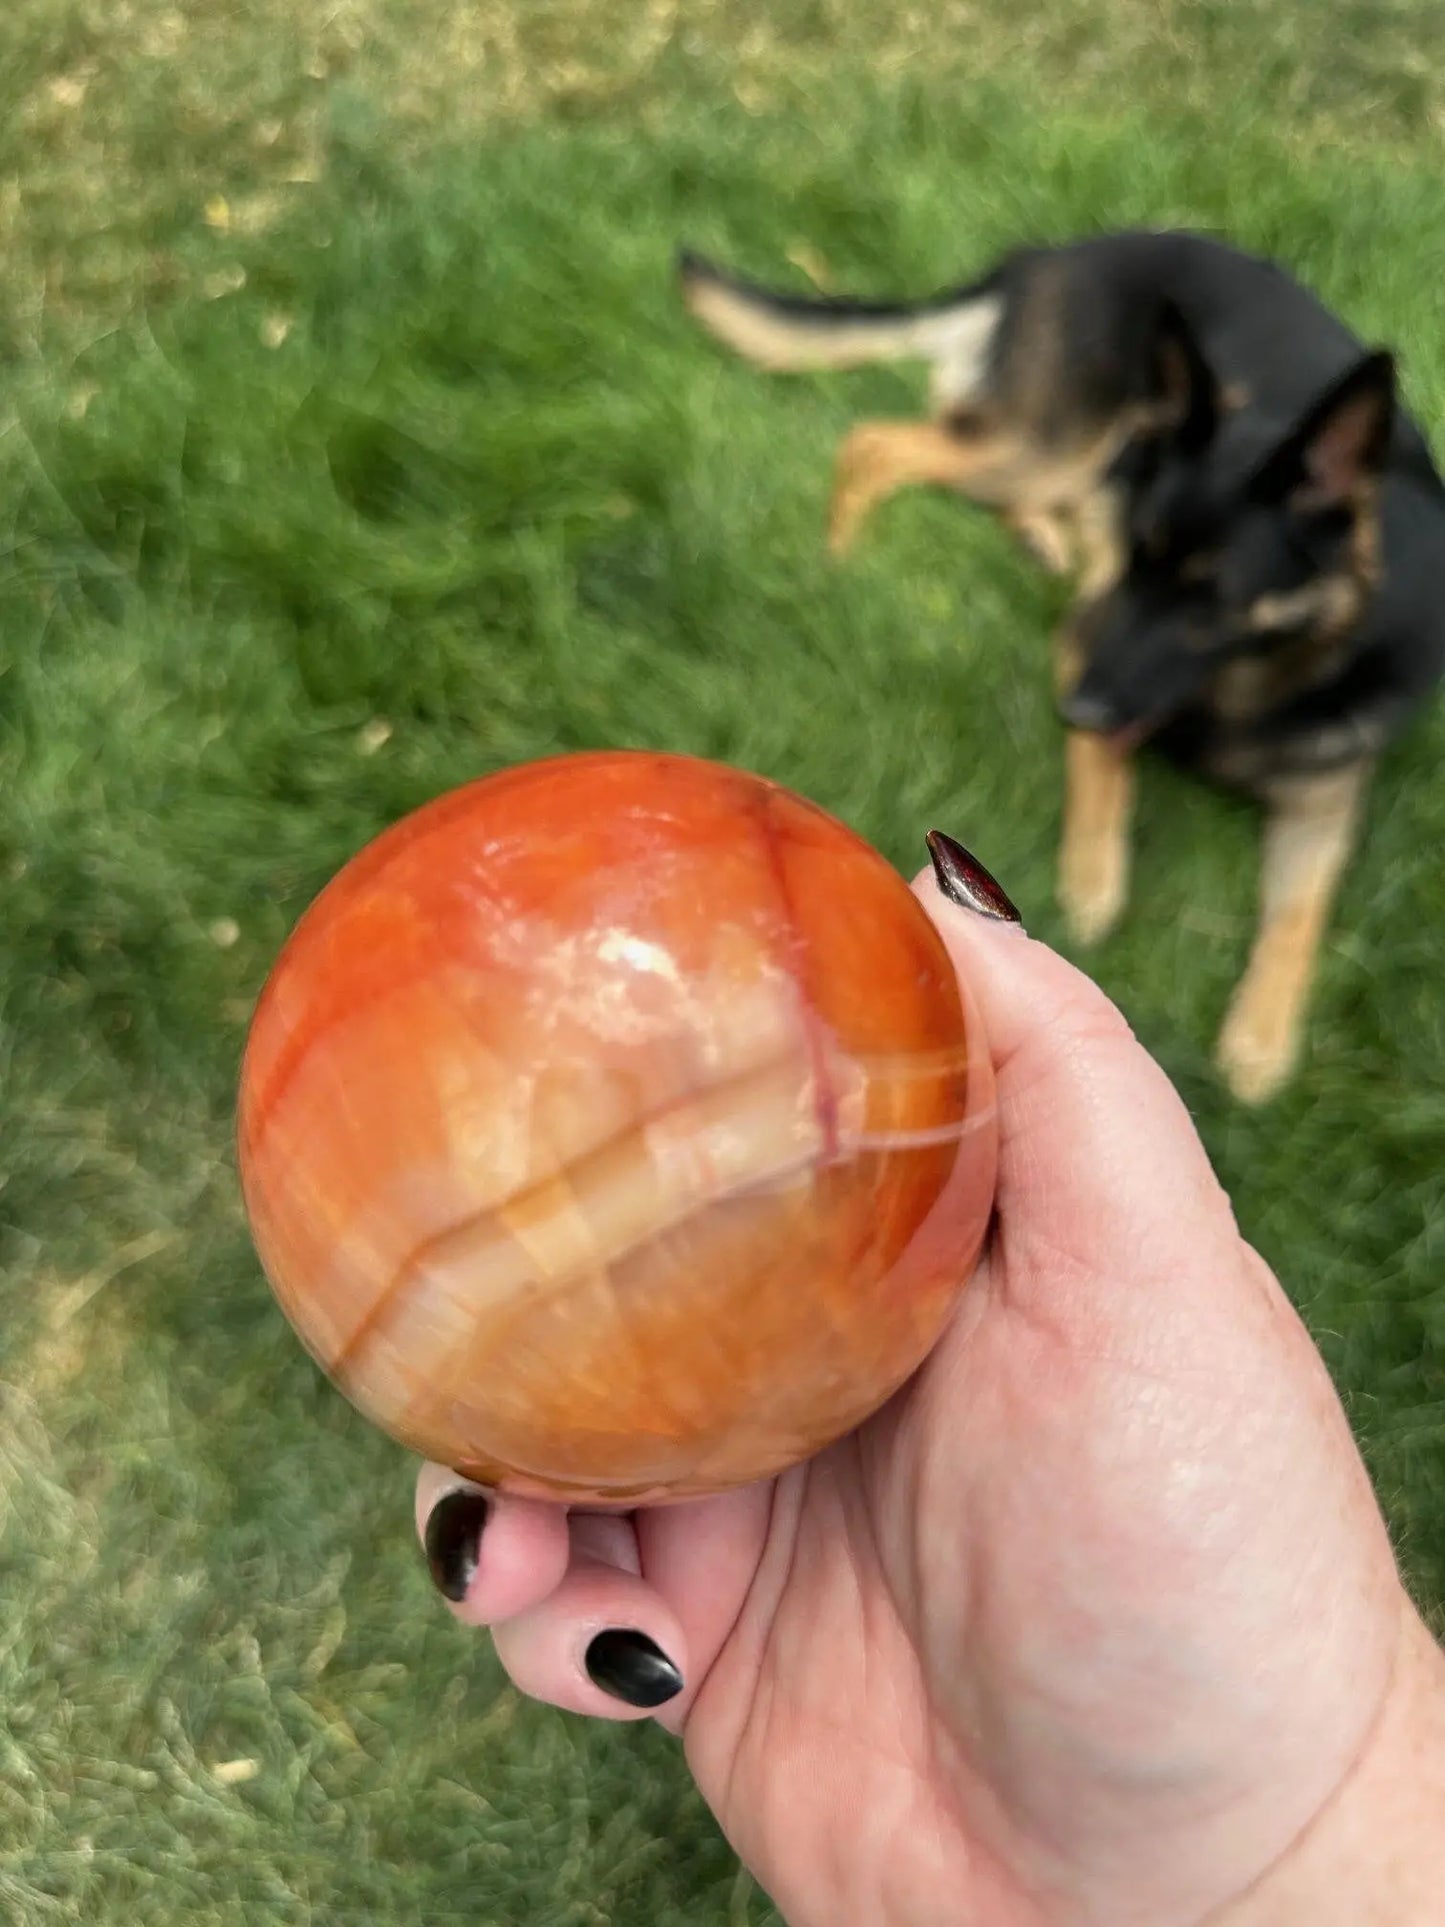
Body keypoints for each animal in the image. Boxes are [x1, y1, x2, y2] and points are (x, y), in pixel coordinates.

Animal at [682, 229, 1445, 1102]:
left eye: (1207, 595)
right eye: (1141, 566)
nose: (1070, 707)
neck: (1242, 692)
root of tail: (1051, 255)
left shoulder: (1326, 792)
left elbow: (1300, 911)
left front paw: (1260, 1038)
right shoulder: (1091, 631)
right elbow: (1099, 762)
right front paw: (1091, 877)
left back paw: (1039, 537)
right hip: (1044, 446)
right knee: (876, 442)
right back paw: (840, 556)